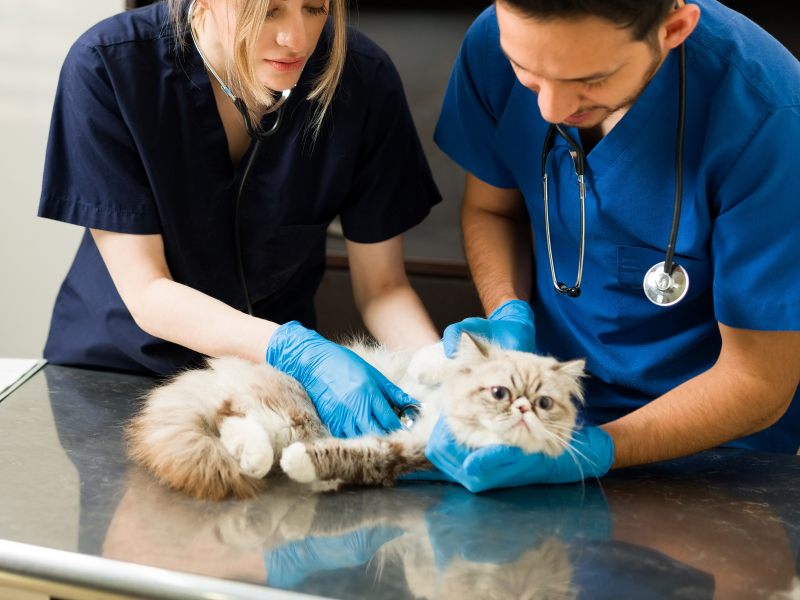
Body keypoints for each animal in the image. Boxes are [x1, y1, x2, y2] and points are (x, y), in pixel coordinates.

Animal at [126, 332, 588, 502]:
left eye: (545, 404)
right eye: (500, 392)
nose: (522, 409)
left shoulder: (403, 451)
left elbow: (354, 456)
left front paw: (305, 466)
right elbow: (443, 355)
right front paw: (432, 365)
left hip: (286, 422)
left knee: (234, 422)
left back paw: (257, 461)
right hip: (286, 411)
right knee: (230, 414)